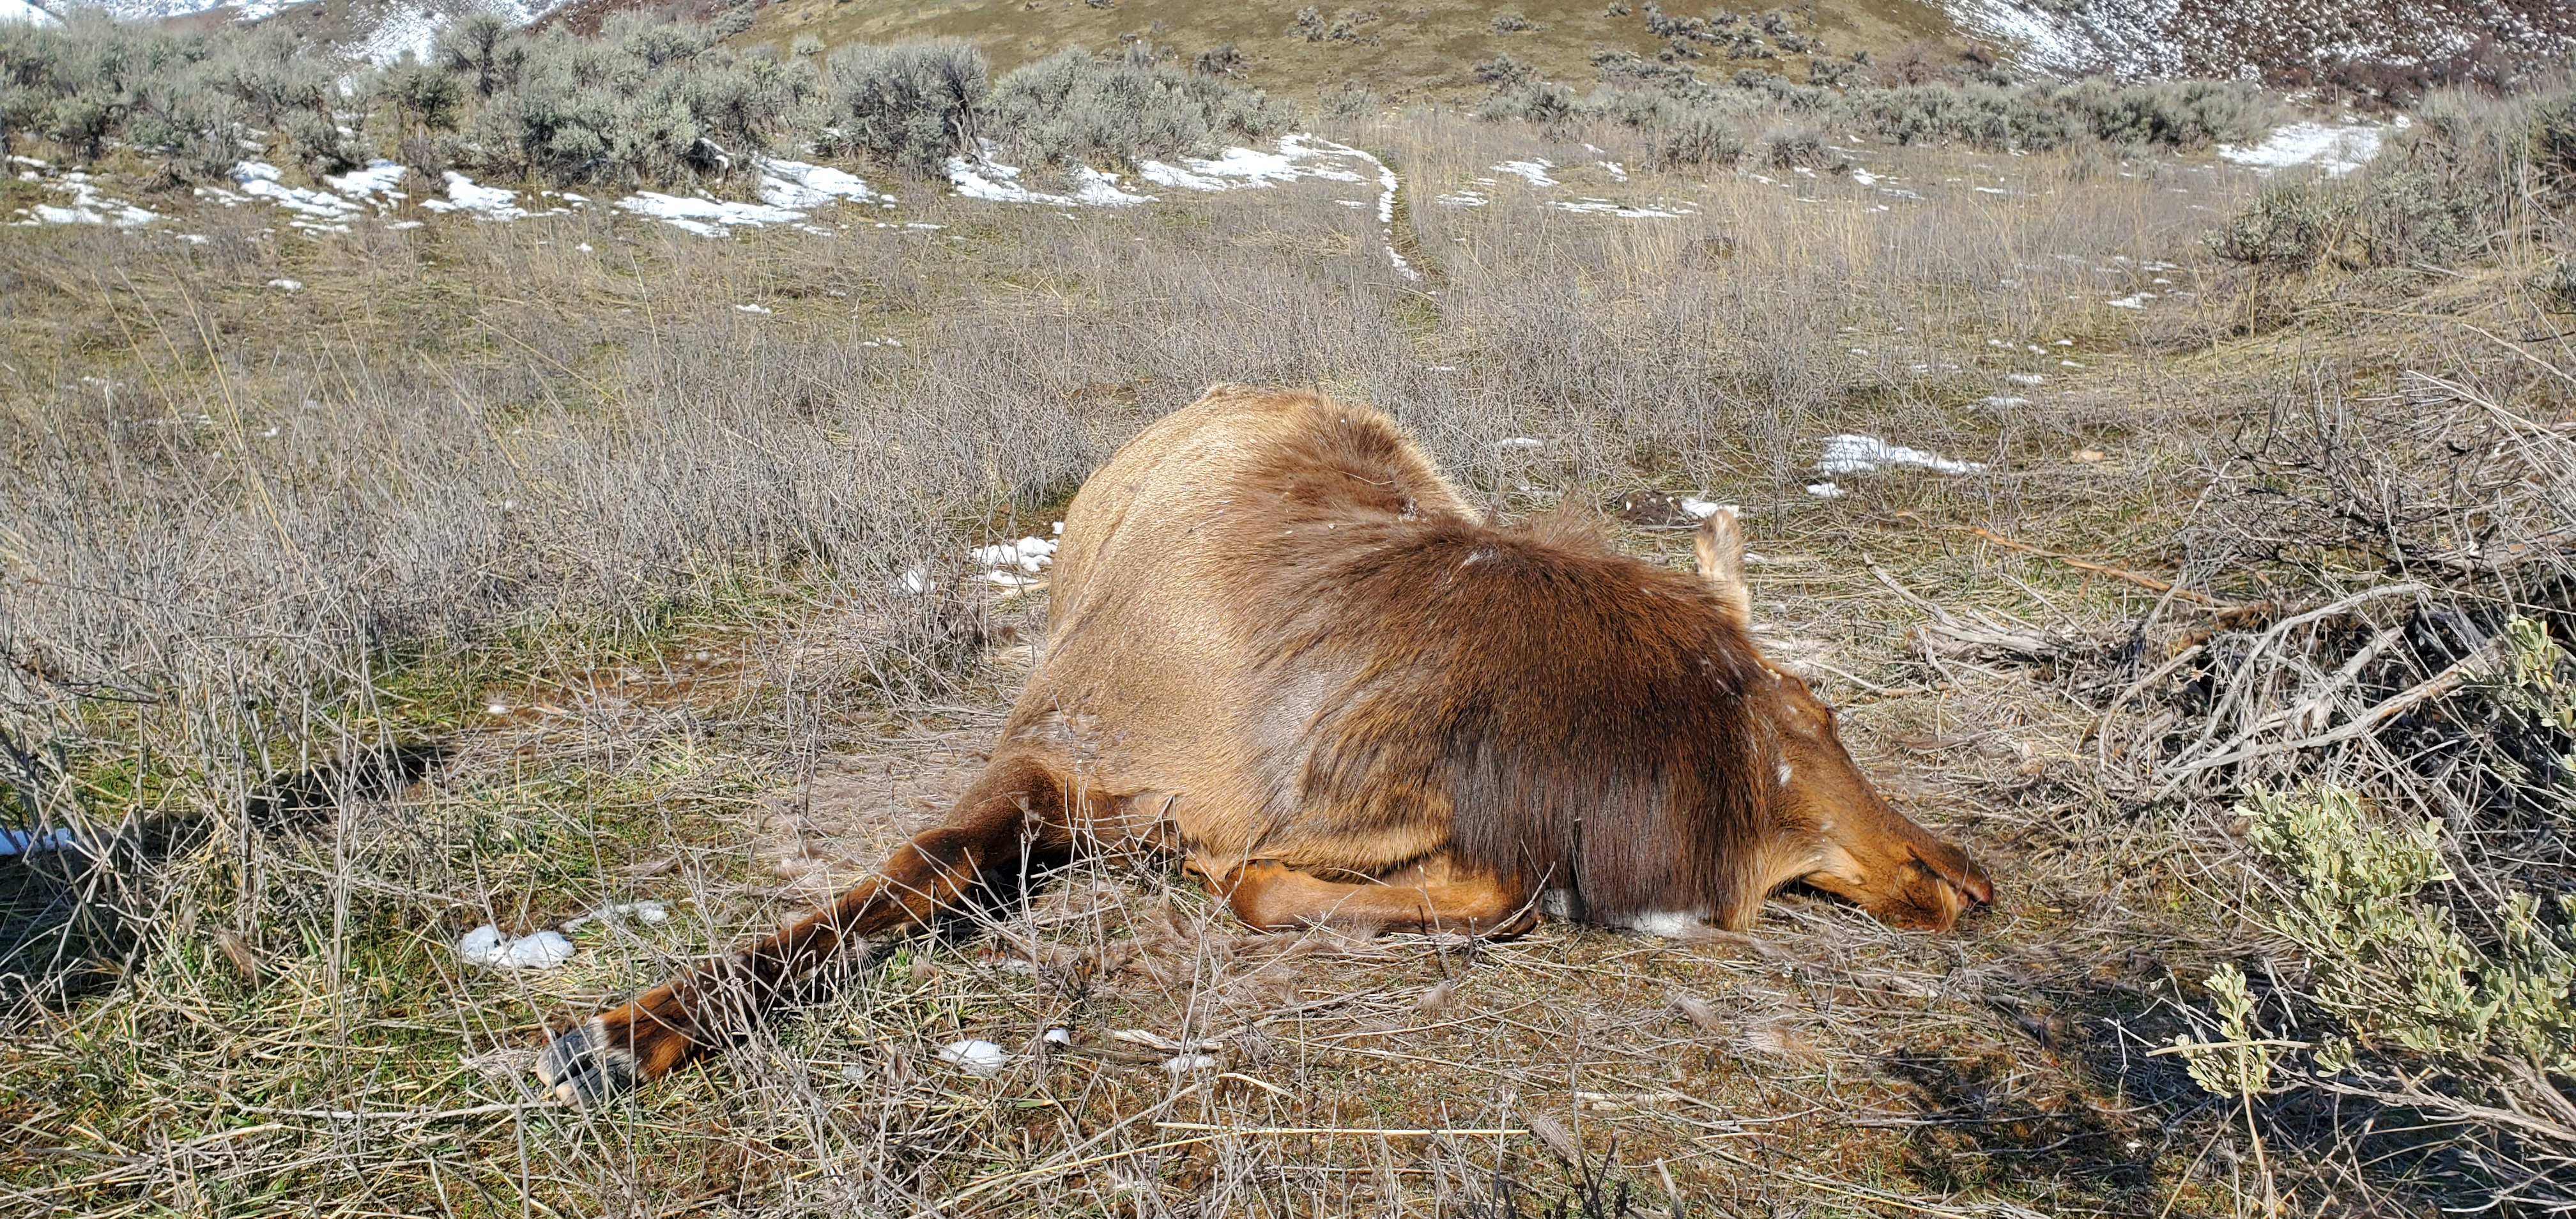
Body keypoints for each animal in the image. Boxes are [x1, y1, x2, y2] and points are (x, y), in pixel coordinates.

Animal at [538, 381, 1988, 1103]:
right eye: (1817, 712)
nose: (1966, 876)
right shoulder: (1049, 751)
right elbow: (902, 876)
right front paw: (619, 1032)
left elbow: (1466, 885)